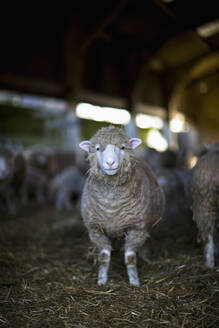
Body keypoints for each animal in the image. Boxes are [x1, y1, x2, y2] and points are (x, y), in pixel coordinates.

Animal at [79, 126, 163, 288]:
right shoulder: (95, 230)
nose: (110, 163)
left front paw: (134, 281)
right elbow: (104, 257)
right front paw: (102, 280)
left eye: (123, 147)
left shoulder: (137, 229)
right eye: (97, 148)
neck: (111, 204)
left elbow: (130, 258)